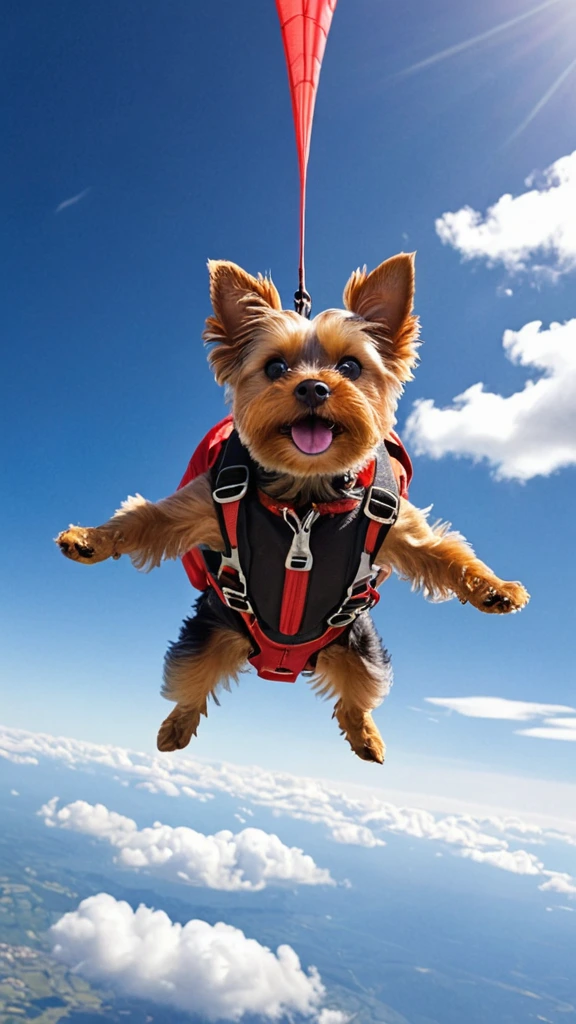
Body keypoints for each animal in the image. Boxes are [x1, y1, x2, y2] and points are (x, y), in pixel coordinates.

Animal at [58, 258, 528, 761]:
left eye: (350, 366)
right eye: (275, 367)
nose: (313, 388)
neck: (306, 492)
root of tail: (282, 664)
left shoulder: (397, 525)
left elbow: (444, 552)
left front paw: (497, 590)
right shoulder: (202, 507)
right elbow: (147, 519)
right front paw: (88, 538)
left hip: (358, 649)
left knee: (357, 697)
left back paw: (366, 737)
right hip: (208, 636)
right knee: (191, 682)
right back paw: (176, 728)